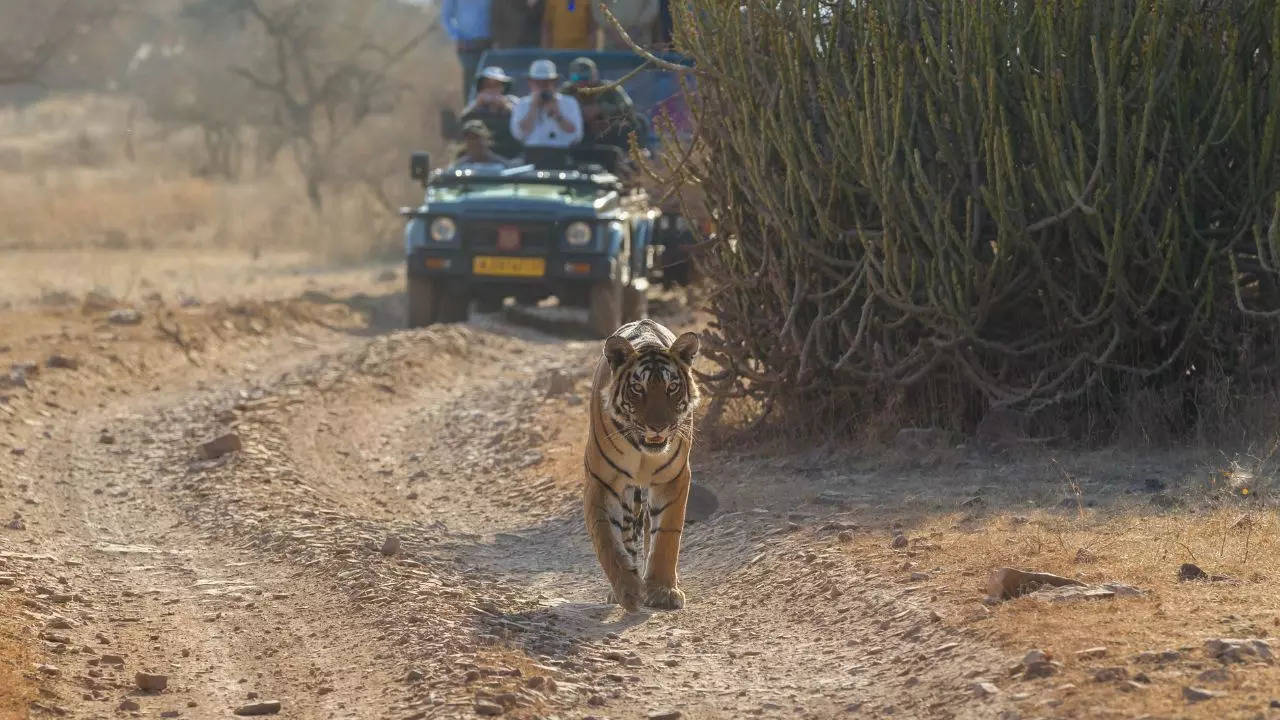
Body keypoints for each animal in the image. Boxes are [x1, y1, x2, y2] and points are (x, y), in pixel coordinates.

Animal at [583, 316, 701, 607]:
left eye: (672, 388)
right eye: (638, 389)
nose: (658, 427)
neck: (642, 451)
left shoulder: (674, 478)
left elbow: (666, 537)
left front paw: (662, 590)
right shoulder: (601, 483)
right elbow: (608, 541)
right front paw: (627, 589)